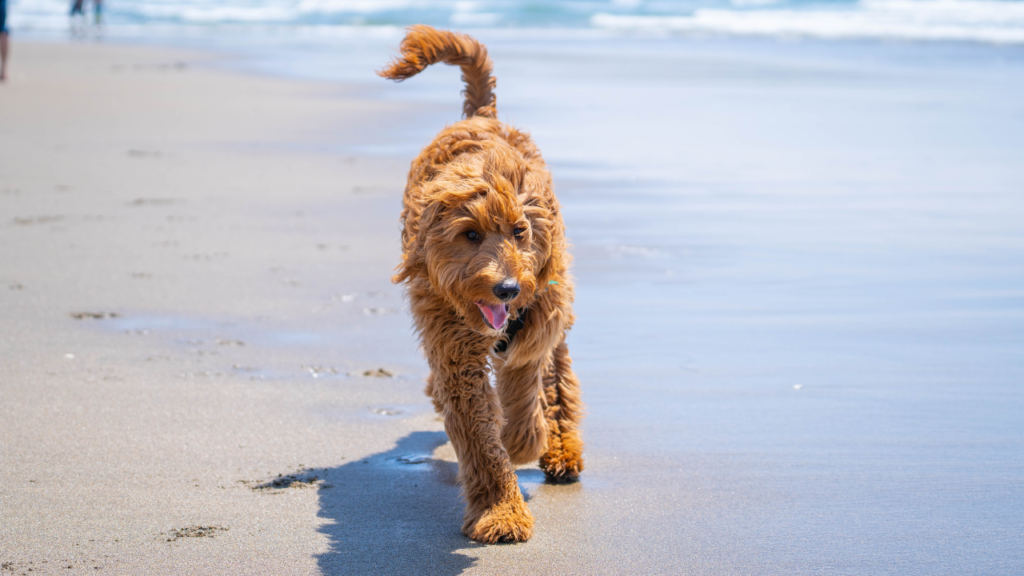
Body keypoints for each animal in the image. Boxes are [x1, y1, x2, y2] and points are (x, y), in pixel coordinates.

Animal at [378, 24, 589, 541]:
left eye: (520, 231)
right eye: (469, 235)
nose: (508, 290)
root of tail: (481, 115)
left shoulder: (538, 317)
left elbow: (527, 380)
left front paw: (523, 440)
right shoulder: (454, 349)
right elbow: (478, 436)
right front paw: (501, 510)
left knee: (557, 376)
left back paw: (560, 448)